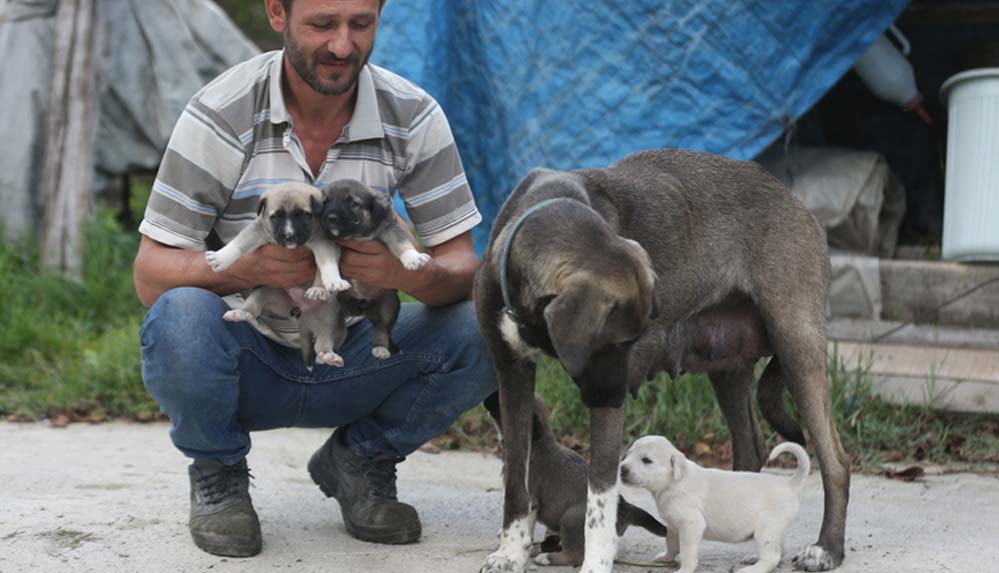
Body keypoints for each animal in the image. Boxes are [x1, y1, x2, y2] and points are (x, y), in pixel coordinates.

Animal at [318, 179, 432, 360]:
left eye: (353, 203)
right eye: (326, 201)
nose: (331, 218)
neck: (357, 234)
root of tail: (359, 309)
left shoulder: (389, 228)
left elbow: (401, 243)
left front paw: (413, 258)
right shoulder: (328, 240)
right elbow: (326, 260)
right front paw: (332, 281)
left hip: (388, 304)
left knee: (381, 328)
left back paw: (380, 348)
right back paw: (326, 353)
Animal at [482, 392, 668, 564]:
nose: (487, 399)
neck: (536, 443)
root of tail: (625, 508)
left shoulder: (531, 501)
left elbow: (526, 525)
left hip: (570, 519)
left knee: (574, 555)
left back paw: (547, 557)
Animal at [620, 434, 808, 572]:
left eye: (646, 460)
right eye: (628, 453)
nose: (622, 469)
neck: (674, 482)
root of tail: (788, 483)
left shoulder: (690, 525)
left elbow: (687, 553)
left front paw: (684, 569)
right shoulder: (673, 527)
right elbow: (671, 544)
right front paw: (666, 558)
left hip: (766, 529)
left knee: (772, 557)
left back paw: (753, 569)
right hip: (773, 530)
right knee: (779, 551)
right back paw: (754, 558)